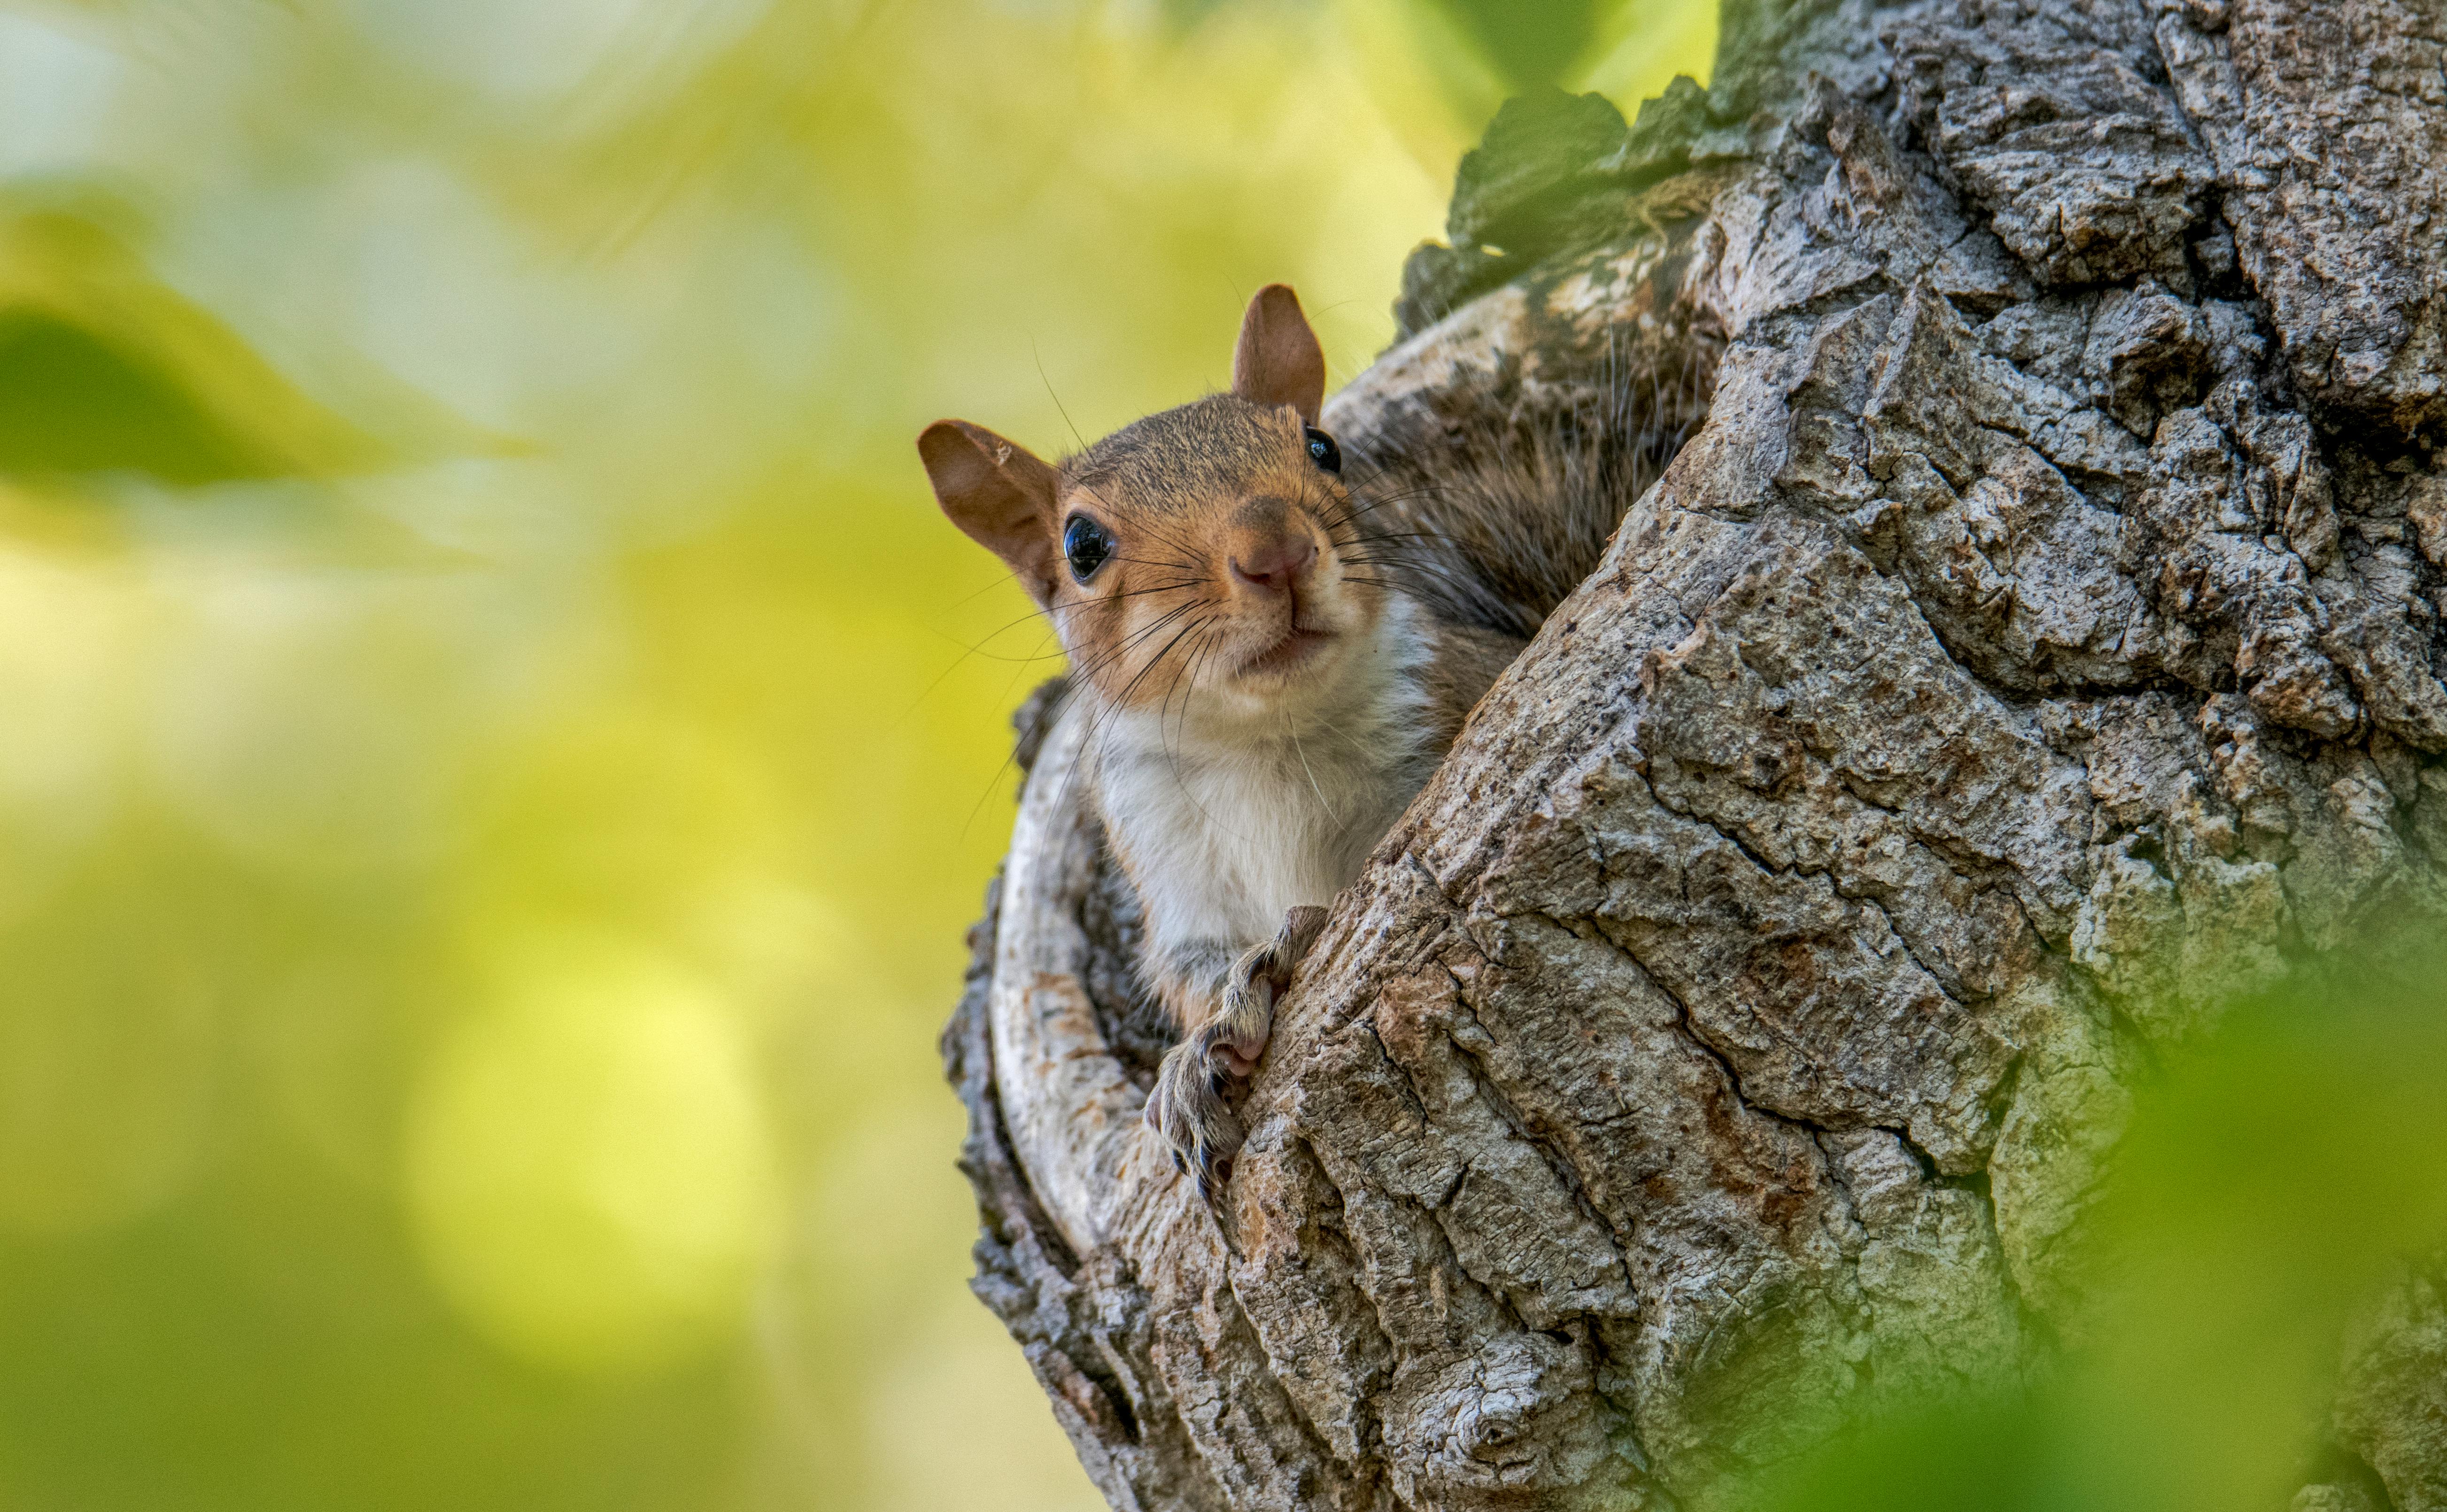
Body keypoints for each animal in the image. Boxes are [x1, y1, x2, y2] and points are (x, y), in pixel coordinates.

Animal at [919, 284, 1660, 1203]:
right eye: (1081, 546)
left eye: (1322, 448)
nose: (1275, 549)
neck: (1271, 738)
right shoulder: (1171, 867)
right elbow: (1192, 973)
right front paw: (1195, 1061)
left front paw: (1293, 943)